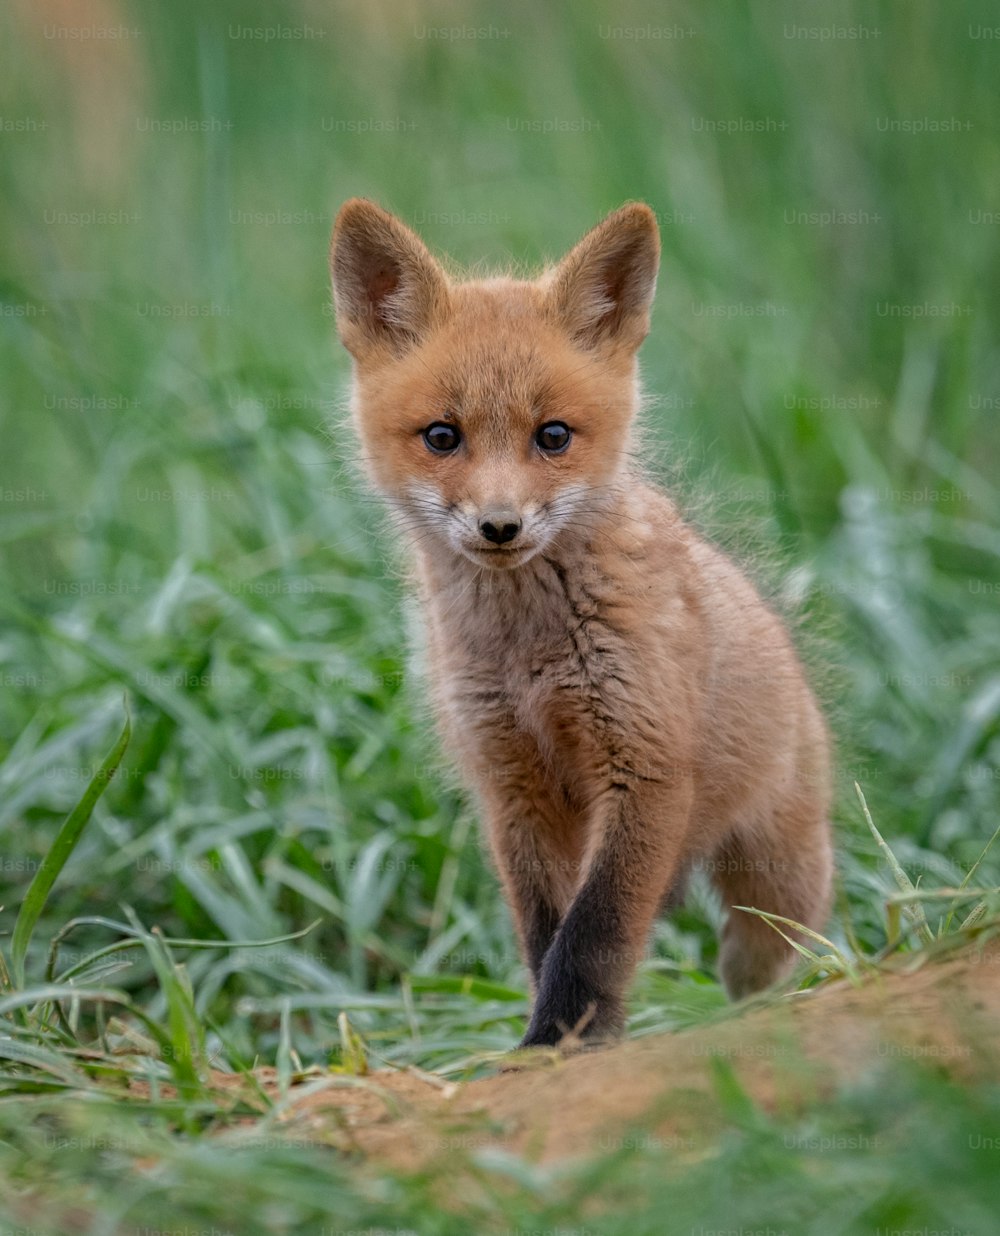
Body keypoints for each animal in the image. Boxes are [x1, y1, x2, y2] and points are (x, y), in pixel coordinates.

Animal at [328, 197, 835, 1048]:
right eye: (442, 436)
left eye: (553, 436)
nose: (500, 526)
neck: (526, 657)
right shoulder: (511, 786)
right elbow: (546, 932)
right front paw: (558, 1039)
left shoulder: (643, 766)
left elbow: (595, 930)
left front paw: (566, 1038)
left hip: (777, 880)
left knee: (762, 954)